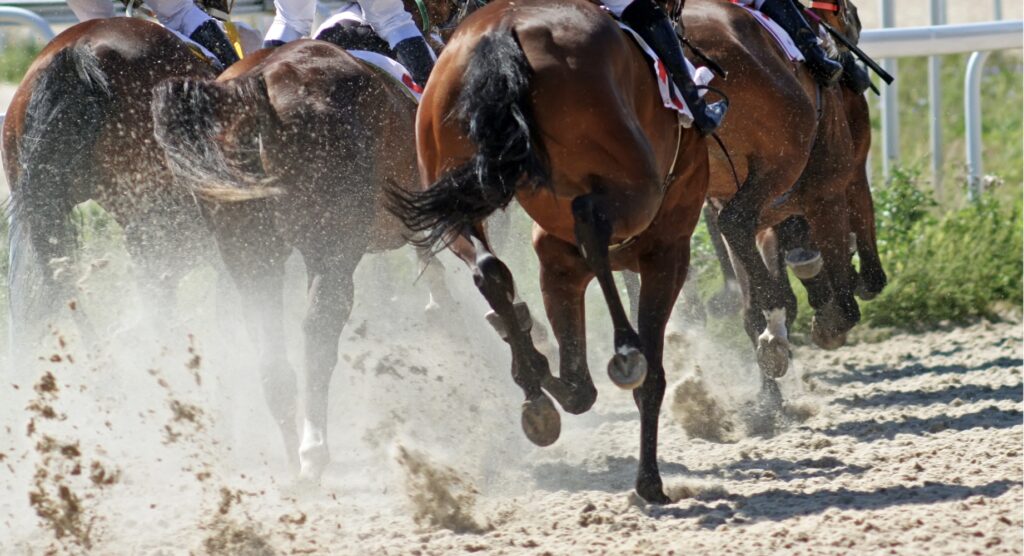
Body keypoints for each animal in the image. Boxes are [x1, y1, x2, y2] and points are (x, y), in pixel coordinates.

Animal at [148, 38, 456, 479]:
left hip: (250, 254)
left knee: (268, 343)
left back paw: (293, 456)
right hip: (331, 249)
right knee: (318, 330)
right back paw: (313, 450)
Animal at [391, 0, 712, 503]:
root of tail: (500, 30)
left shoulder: (555, 259)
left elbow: (579, 387)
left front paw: (534, 364)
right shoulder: (668, 249)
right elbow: (648, 377)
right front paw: (650, 481)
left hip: (452, 186)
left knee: (489, 267)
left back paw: (530, 373)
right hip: (635, 187)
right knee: (590, 220)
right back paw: (624, 349)